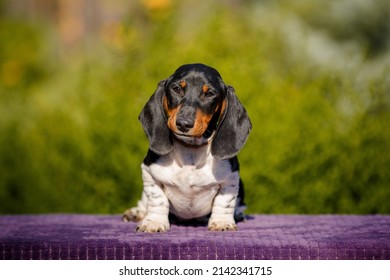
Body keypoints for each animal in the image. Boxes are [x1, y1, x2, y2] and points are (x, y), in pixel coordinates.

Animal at [122, 63, 253, 232]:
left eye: (209, 93)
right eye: (177, 88)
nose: (183, 124)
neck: (191, 151)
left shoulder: (231, 178)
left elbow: (224, 202)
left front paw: (222, 222)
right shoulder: (149, 173)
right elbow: (157, 200)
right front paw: (154, 222)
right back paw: (136, 213)